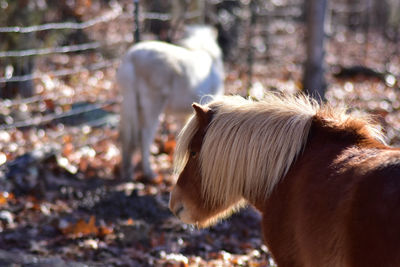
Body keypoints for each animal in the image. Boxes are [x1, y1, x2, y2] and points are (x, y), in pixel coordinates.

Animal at [116, 25, 225, 180]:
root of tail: (131, 57)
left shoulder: (186, 116)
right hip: (152, 109)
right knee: (144, 137)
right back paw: (149, 173)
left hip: (132, 107)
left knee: (128, 137)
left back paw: (128, 172)